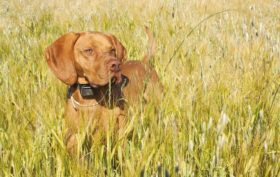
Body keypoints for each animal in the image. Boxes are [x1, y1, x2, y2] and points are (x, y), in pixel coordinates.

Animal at [44, 27, 161, 155]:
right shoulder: (74, 136)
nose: (116, 65)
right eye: (89, 50)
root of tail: (144, 62)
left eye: (112, 50)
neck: (90, 98)